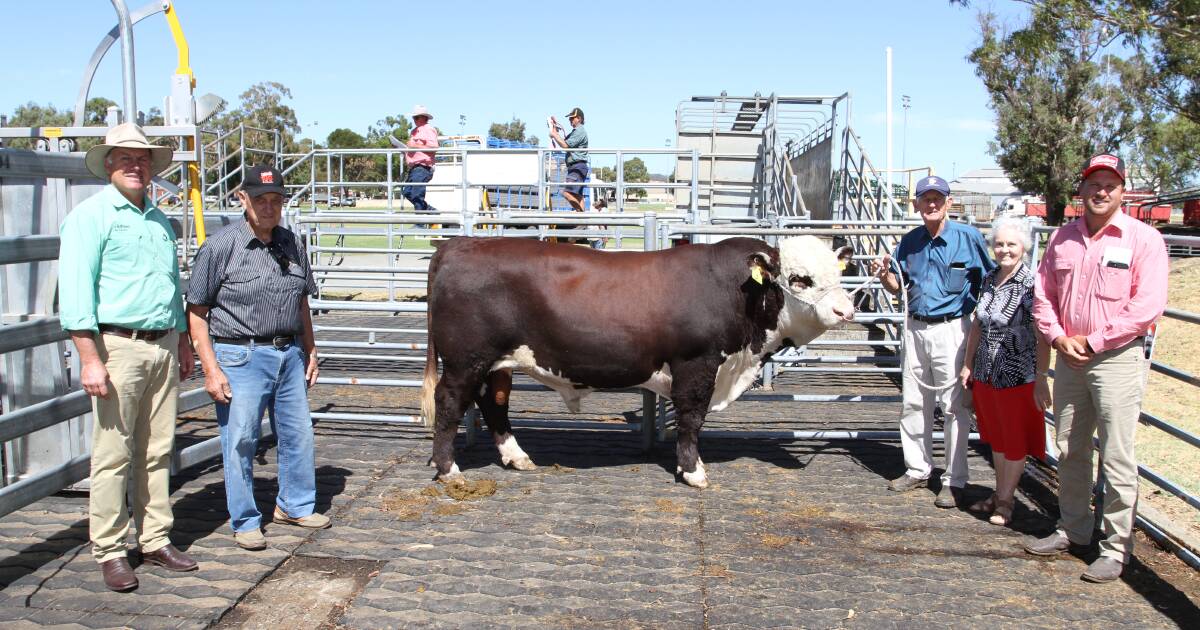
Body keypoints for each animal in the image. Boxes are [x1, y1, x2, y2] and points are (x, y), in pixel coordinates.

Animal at [422, 235, 854, 487]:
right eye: (800, 279)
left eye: (838, 275)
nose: (845, 310)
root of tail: (459, 243)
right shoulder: (696, 364)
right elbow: (692, 419)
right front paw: (693, 471)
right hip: (465, 360)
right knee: (449, 403)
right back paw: (449, 470)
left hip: (497, 364)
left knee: (493, 404)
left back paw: (517, 458)